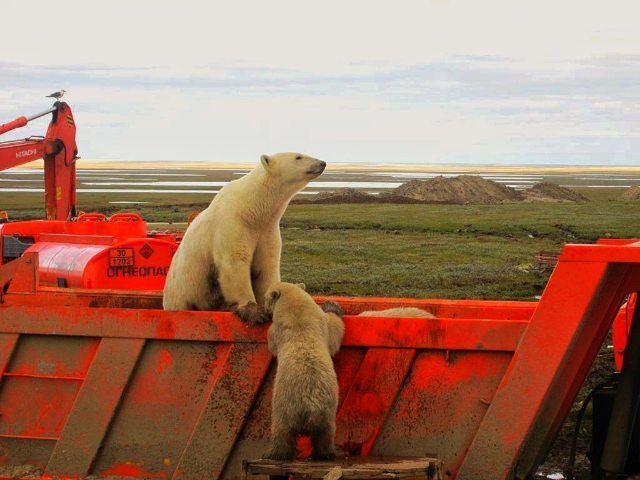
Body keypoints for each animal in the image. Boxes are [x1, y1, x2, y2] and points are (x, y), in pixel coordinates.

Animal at [162, 152, 328, 324]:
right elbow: (235, 262)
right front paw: (254, 311)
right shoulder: (233, 223)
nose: (322, 163)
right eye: (298, 157)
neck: (251, 208)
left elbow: (267, 264)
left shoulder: (267, 230)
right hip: (182, 293)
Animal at [264, 282, 348, 462]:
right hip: (327, 412)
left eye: (265, 297)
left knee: (282, 432)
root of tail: (310, 407)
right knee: (325, 434)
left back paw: (273, 454)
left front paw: (332, 305)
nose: (265, 308)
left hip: (285, 407)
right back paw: (325, 454)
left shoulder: (282, 328)